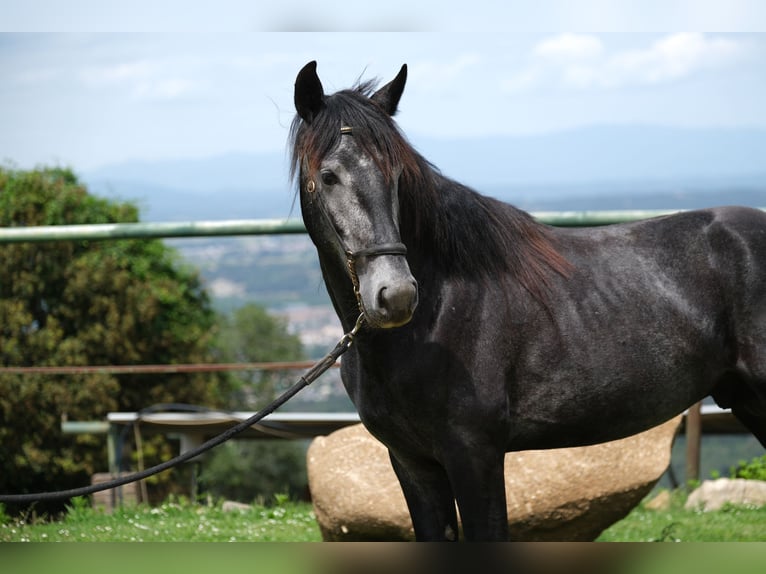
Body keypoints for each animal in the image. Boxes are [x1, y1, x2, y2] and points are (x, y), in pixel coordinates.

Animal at [290, 60, 766, 544]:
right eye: (328, 176)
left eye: (398, 176)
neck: (433, 320)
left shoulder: (474, 454)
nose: (396, 295)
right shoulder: (412, 463)